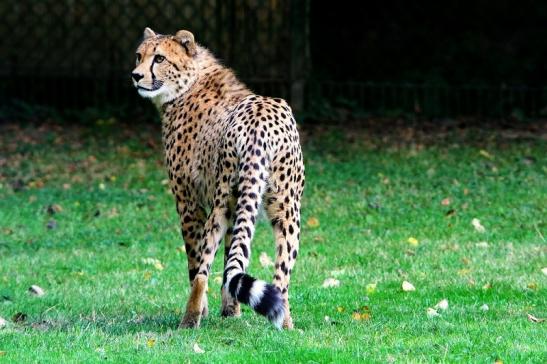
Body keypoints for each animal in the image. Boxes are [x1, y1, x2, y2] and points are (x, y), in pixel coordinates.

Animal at [131, 29, 306, 330]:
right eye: (139, 56)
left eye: (160, 58)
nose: (136, 75)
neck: (189, 82)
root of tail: (263, 116)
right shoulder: (238, 208)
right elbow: (231, 260)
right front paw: (232, 312)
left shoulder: (189, 205)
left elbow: (197, 264)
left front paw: (206, 311)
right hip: (286, 210)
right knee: (281, 278)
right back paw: (285, 325)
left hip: (220, 204)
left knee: (201, 271)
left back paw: (188, 320)